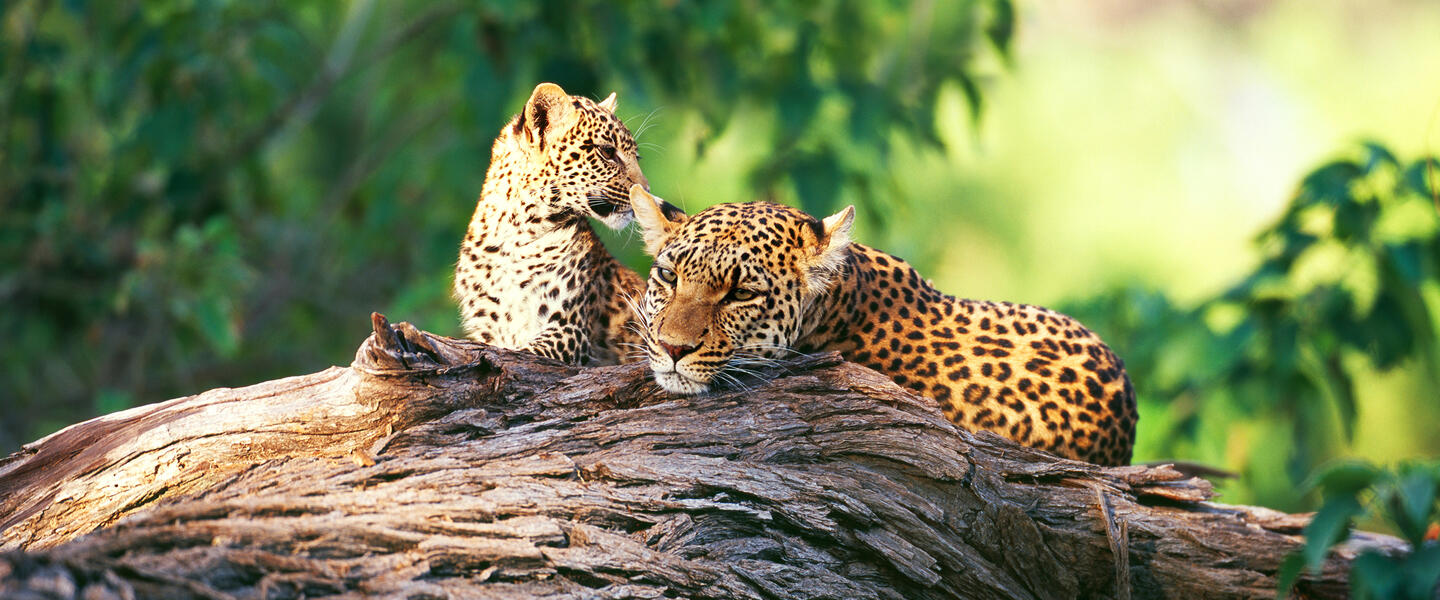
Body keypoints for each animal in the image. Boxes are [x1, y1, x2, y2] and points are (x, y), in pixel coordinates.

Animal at [452, 82, 676, 365]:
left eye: (637, 157)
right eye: (607, 152)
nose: (646, 190)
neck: (513, 236)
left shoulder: (570, 328)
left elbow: (526, 351)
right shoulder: (487, 329)